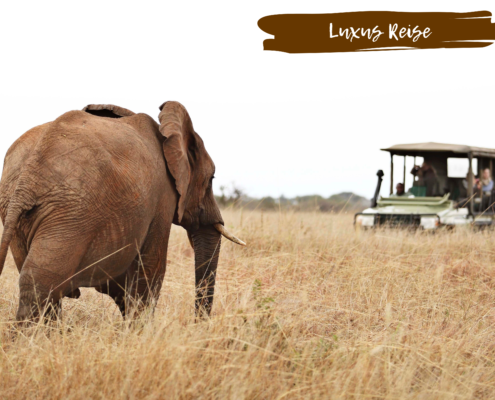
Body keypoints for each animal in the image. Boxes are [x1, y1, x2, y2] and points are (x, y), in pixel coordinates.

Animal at [0, 102, 246, 322]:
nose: (198, 324)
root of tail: (27, 181)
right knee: (41, 282)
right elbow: (151, 270)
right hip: (69, 213)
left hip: (27, 211)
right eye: (211, 179)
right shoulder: (162, 198)